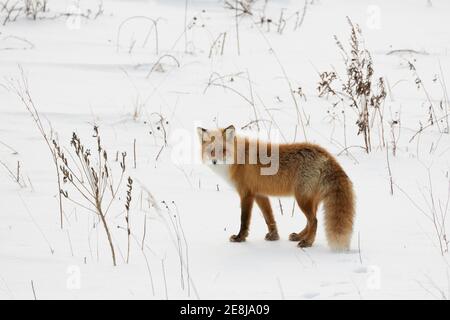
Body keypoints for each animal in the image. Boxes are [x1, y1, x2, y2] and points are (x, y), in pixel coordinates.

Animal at [197, 125, 356, 250]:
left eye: (223, 150)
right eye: (211, 151)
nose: (215, 161)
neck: (239, 159)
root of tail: (325, 154)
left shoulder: (246, 193)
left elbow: (244, 219)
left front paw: (240, 238)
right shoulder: (259, 194)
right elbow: (269, 217)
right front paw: (274, 236)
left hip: (302, 199)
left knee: (314, 221)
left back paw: (307, 242)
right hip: (309, 200)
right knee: (310, 221)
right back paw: (299, 236)